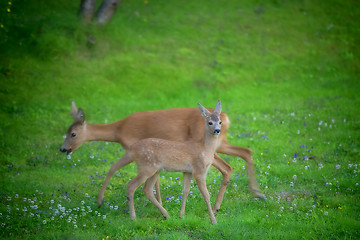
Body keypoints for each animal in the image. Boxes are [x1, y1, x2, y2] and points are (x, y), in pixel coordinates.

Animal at [59, 101, 264, 212]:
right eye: (66, 131)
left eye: (73, 134)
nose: (62, 149)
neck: (118, 130)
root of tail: (226, 118)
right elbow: (155, 179)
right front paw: (160, 203)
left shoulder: (132, 148)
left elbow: (112, 169)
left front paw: (100, 201)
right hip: (221, 143)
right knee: (245, 152)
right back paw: (255, 193)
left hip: (210, 146)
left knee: (228, 166)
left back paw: (218, 206)